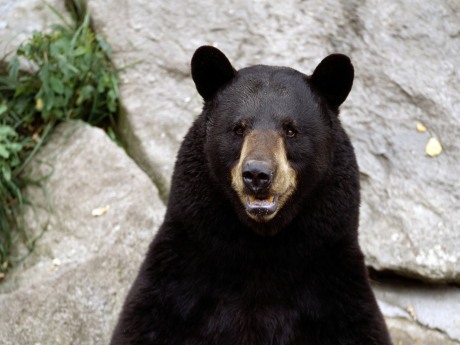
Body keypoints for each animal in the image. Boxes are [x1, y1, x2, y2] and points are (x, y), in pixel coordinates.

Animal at [110, 46, 392, 344]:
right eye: (239, 128)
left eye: (290, 130)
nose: (257, 174)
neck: (260, 248)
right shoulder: (180, 268)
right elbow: (146, 321)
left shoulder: (332, 276)